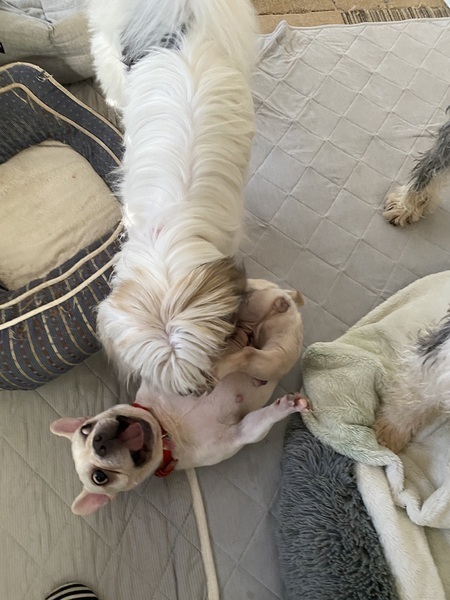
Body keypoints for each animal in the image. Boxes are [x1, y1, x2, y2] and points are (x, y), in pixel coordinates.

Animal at [50, 280, 309, 515]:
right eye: (99, 477)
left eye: (86, 428)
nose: (99, 441)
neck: (165, 428)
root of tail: (287, 299)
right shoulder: (241, 433)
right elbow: (260, 422)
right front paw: (287, 405)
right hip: (277, 353)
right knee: (250, 354)